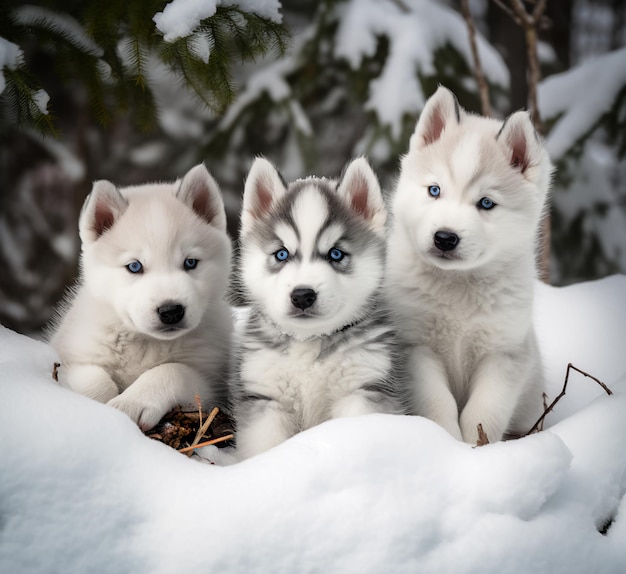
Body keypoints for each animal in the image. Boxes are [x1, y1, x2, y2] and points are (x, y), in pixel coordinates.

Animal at [48, 164, 233, 430]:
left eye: (190, 262)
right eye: (134, 266)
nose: (171, 311)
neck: (145, 342)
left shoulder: (209, 381)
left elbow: (171, 369)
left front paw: (132, 403)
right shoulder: (71, 356)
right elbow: (95, 380)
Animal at [234, 156, 404, 460]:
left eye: (336, 254)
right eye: (281, 254)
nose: (303, 295)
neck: (309, 342)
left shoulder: (363, 389)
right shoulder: (267, 399)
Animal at [386, 86, 552, 446]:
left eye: (486, 203)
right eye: (434, 190)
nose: (445, 238)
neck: (458, 289)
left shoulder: (504, 355)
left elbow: (484, 412)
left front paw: (476, 448)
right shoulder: (417, 348)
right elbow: (438, 403)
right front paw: (447, 442)